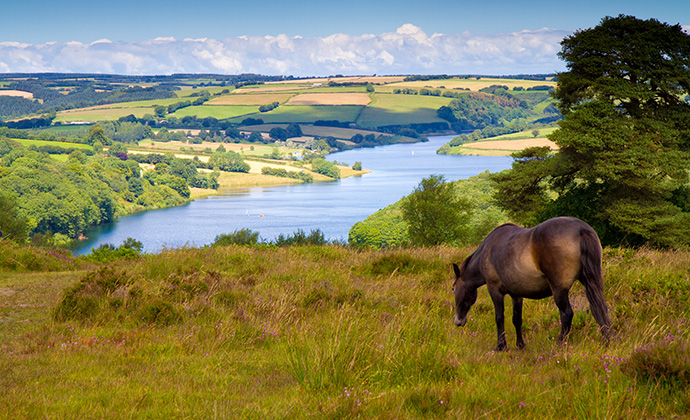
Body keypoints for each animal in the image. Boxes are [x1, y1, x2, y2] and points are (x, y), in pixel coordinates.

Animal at [454, 217, 612, 352]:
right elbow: (517, 319)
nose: (458, 321)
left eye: (453, 288)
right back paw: (607, 340)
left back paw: (560, 344)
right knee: (600, 308)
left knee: (567, 314)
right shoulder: (516, 294)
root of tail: (581, 229)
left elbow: (499, 318)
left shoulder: (494, 290)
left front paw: (501, 346)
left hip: (559, 290)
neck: (487, 250)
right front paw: (520, 345)